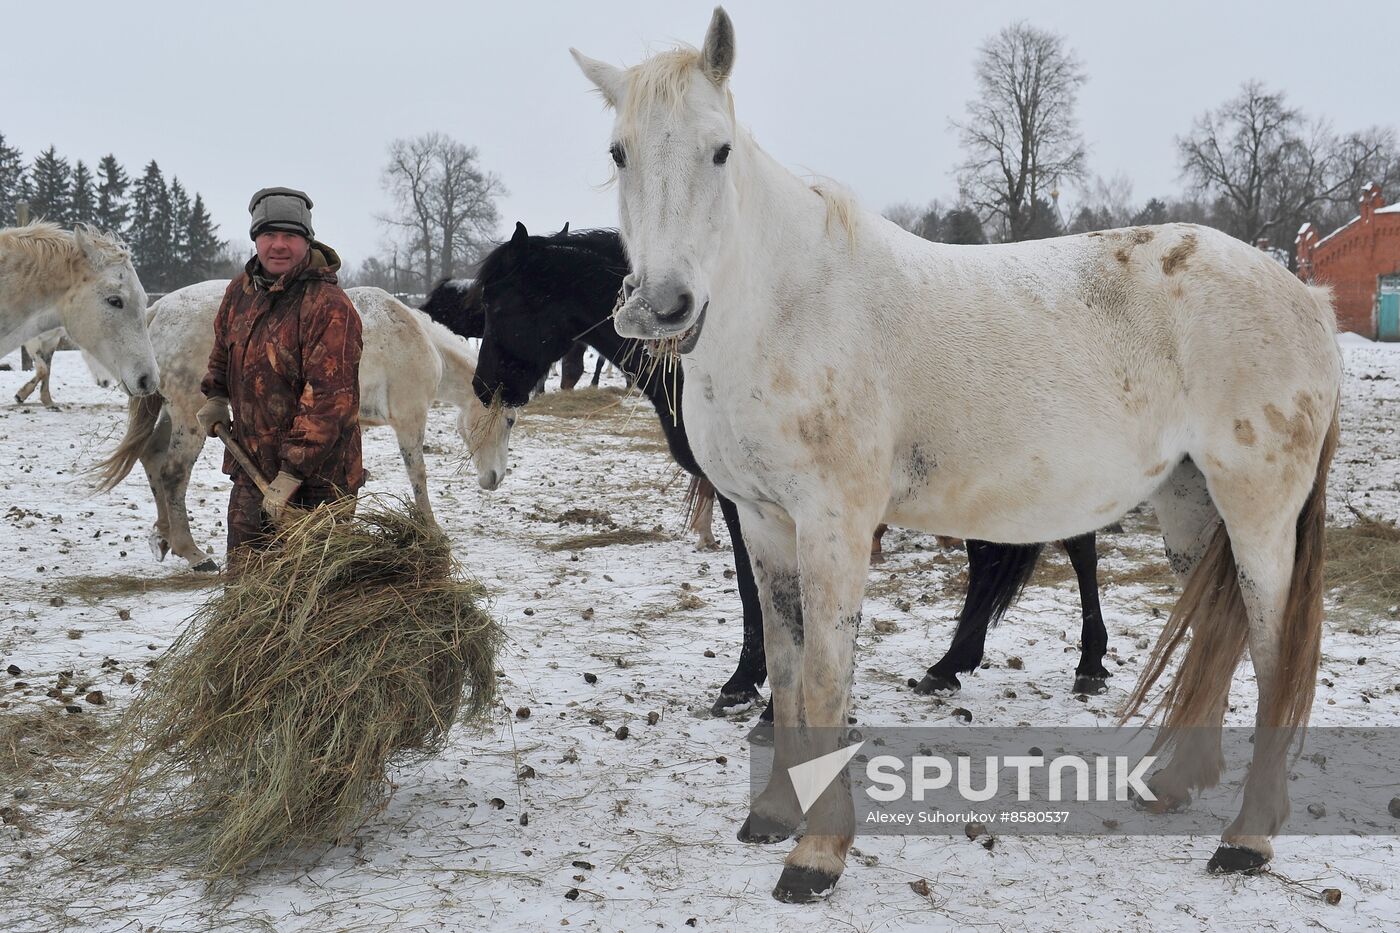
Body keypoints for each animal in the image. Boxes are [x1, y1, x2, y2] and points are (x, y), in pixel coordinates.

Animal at [97, 277, 492, 565]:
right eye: (503, 421)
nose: (493, 479)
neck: (414, 338)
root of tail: (157, 311)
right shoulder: (410, 418)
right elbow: (418, 476)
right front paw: (431, 528)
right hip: (186, 416)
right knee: (173, 472)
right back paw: (191, 553)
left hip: (170, 411)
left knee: (151, 455)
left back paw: (163, 537)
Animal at [431, 224, 1108, 711]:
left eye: (498, 302)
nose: (486, 385)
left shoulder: (753, 499)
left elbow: (752, 586)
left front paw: (744, 680)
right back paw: (951, 666)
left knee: (1073, 549)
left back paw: (1088, 665)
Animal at [576, 7, 1344, 902]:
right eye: (618, 151)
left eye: (719, 148)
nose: (664, 307)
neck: (787, 307)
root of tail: (1304, 296)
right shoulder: (766, 524)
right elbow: (790, 669)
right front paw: (772, 813)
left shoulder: (834, 524)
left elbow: (828, 673)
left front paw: (817, 854)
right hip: (1193, 507)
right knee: (1215, 636)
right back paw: (1177, 786)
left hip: (1259, 513)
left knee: (1270, 649)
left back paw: (1248, 838)